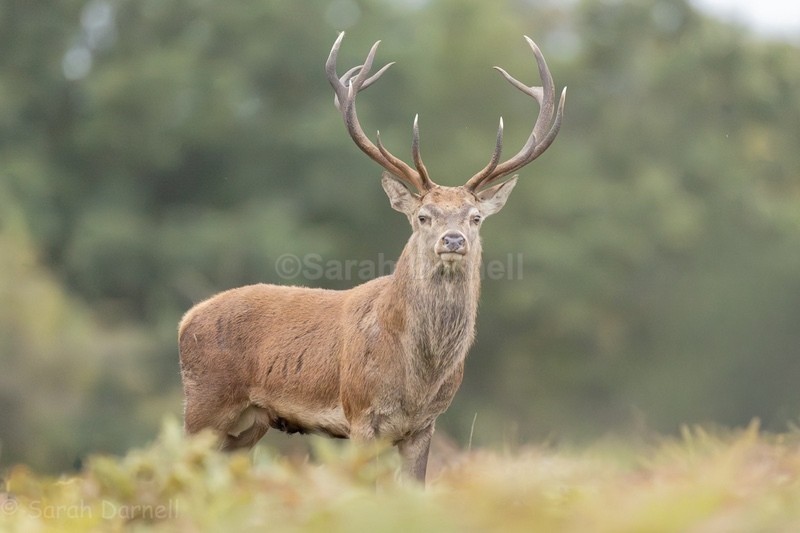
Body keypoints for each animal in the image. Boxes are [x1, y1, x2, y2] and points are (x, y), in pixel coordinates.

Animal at [178, 32, 565, 484]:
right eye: (423, 216)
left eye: (475, 217)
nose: (453, 240)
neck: (418, 379)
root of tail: (186, 319)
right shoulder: (361, 414)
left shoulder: (424, 425)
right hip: (202, 406)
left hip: (248, 424)